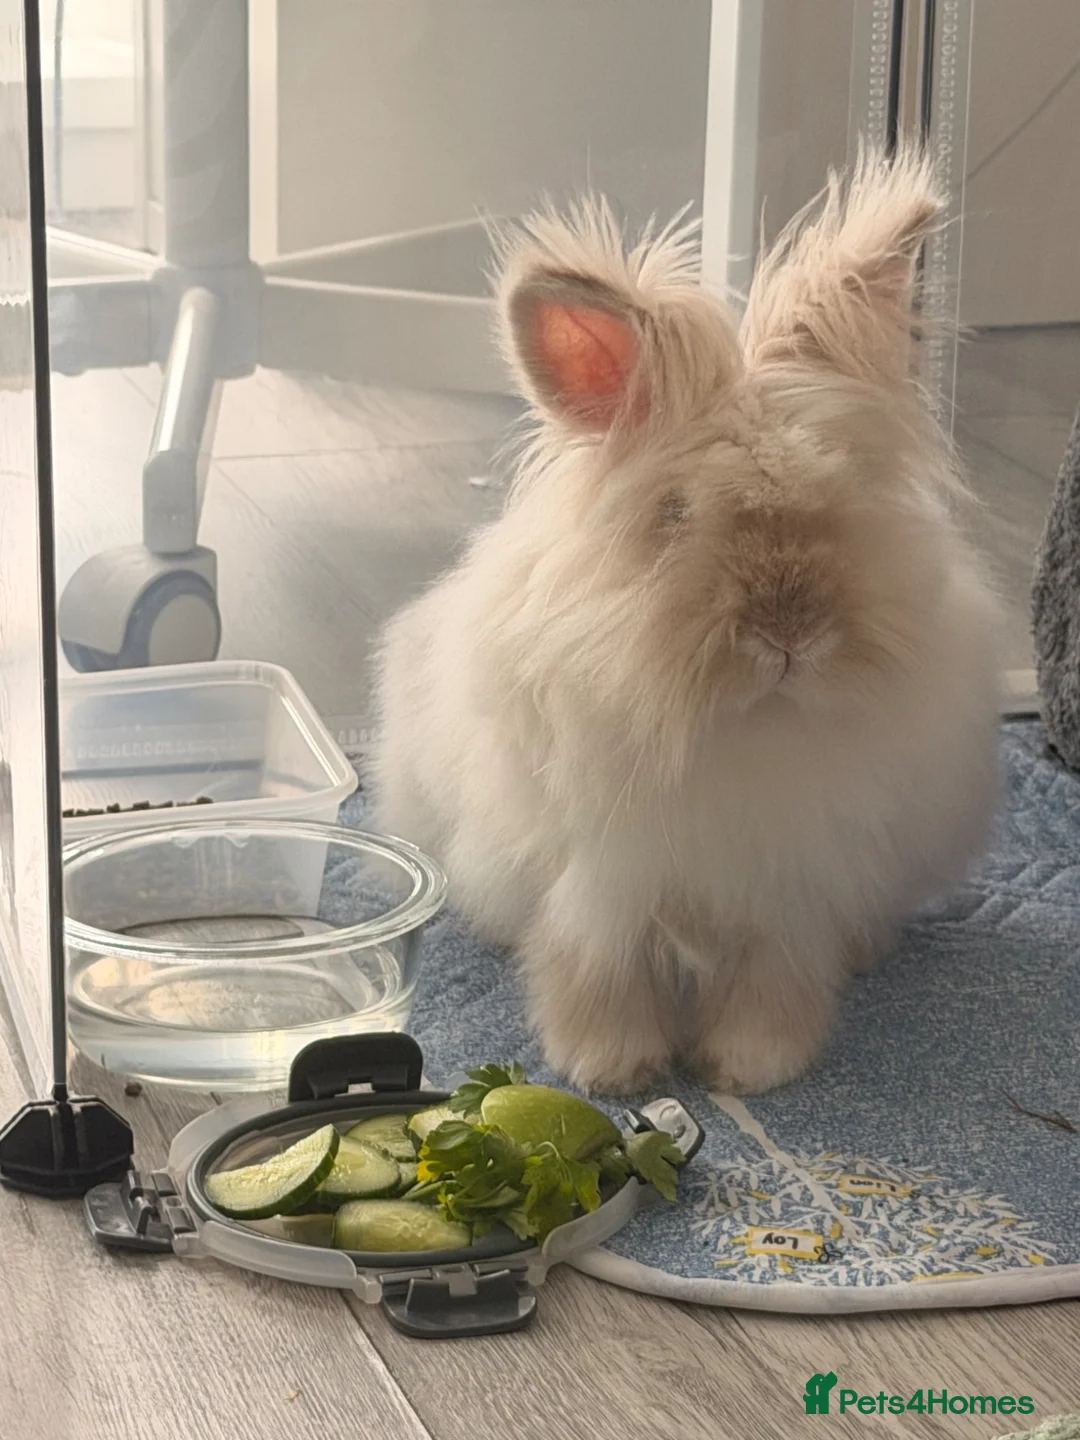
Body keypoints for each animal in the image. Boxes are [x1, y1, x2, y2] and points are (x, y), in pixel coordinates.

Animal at [372, 147, 1001, 1097]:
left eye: (844, 495)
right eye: (674, 513)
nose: (789, 634)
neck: (740, 726)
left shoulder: (788, 891)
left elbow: (773, 979)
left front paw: (752, 1068)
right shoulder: (604, 885)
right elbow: (597, 970)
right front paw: (612, 1067)